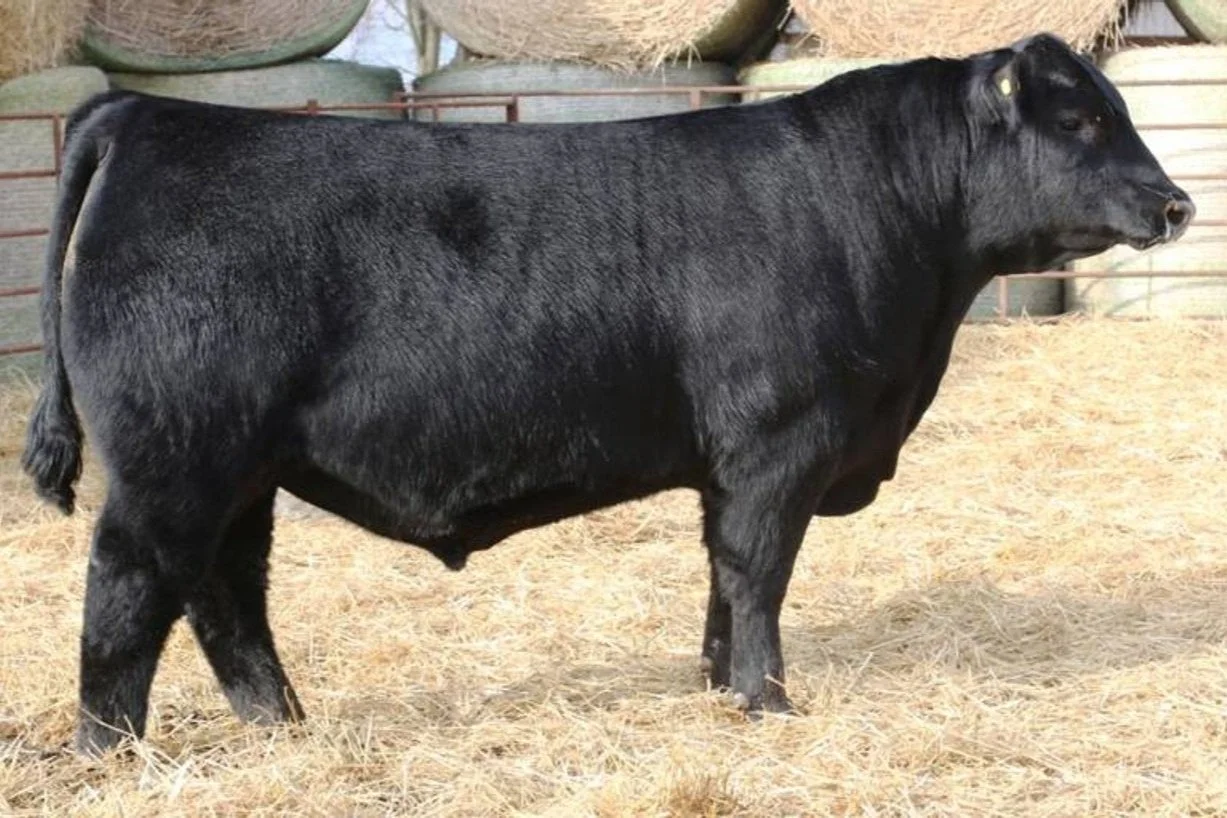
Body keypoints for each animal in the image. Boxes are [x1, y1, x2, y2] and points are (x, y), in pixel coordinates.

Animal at [22, 33, 1193, 756]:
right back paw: (112, 754)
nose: (1177, 203)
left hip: (240, 473)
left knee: (227, 598)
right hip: (175, 462)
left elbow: (722, 577)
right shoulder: (779, 444)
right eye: (1079, 120)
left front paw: (720, 685)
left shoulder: (734, 464)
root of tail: (147, 112)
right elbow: (759, 574)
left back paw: (285, 727)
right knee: (129, 596)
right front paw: (767, 701)